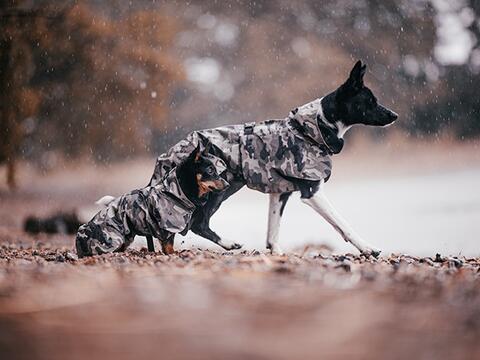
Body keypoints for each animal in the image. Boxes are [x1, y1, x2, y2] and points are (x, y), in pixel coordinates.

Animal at [146, 60, 398, 256]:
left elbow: (273, 230)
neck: (312, 129)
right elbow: (342, 223)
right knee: (198, 224)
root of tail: (169, 153)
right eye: (371, 101)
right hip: (219, 189)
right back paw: (227, 243)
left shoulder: (280, 192)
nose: (395, 115)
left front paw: (275, 252)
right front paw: (367, 247)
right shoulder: (312, 192)